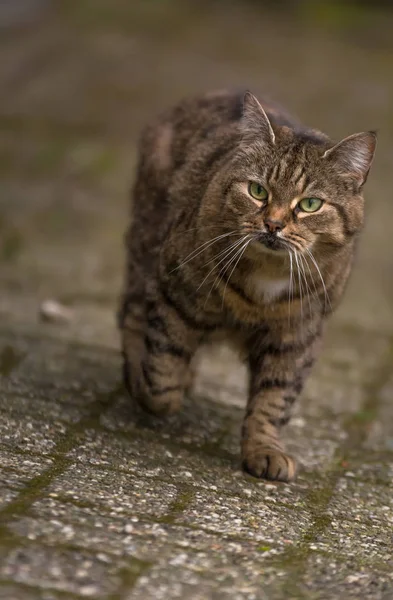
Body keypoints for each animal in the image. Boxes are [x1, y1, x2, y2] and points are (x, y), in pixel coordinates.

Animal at [118, 90, 376, 482]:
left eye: (310, 204)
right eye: (258, 191)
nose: (273, 224)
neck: (265, 280)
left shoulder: (297, 336)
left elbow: (274, 399)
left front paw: (264, 450)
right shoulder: (174, 292)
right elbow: (163, 370)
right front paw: (157, 391)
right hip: (146, 246)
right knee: (131, 313)